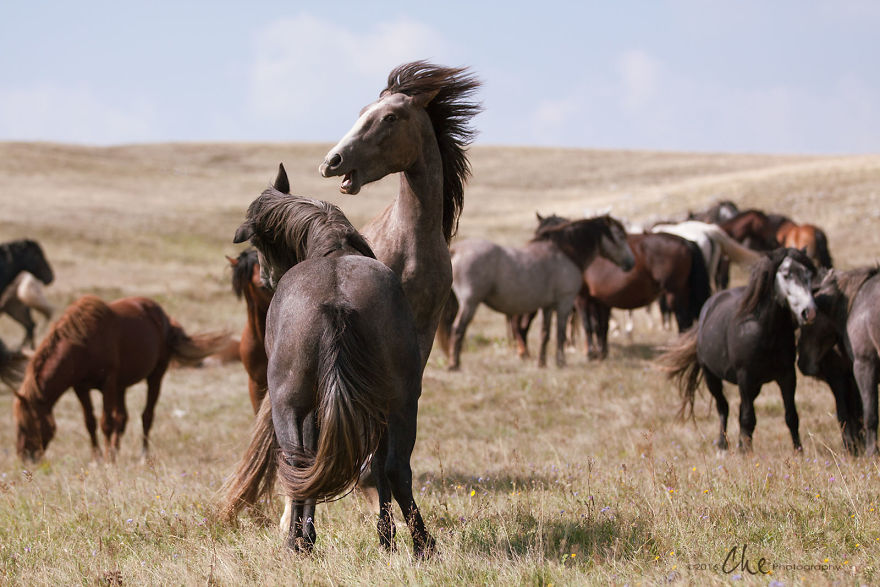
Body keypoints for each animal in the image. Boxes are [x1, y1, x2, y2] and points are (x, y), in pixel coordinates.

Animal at [13, 295, 227, 462]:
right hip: (121, 386)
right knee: (122, 418)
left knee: (146, 416)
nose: (25, 457)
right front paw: (98, 458)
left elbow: (106, 422)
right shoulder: (81, 387)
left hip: (155, 375)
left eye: (24, 425)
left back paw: (142, 456)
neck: (82, 345)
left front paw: (108, 458)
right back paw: (117, 451)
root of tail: (165, 318)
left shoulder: (107, 384)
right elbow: (90, 422)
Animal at [440, 215, 634, 369]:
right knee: (458, 330)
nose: (631, 263)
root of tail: (457, 250)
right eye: (620, 236)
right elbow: (560, 333)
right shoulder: (564, 303)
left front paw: (542, 362)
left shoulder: (547, 307)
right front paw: (561, 362)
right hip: (470, 303)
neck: (565, 254)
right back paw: (454, 364)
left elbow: (545, 334)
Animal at [659, 248, 818, 452]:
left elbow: (791, 416)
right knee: (723, 408)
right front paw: (747, 453)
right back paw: (723, 447)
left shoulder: (787, 376)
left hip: (754, 385)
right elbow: (748, 418)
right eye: (786, 274)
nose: (809, 312)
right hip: (712, 378)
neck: (765, 330)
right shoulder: (745, 376)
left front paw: (799, 452)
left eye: (809, 275)